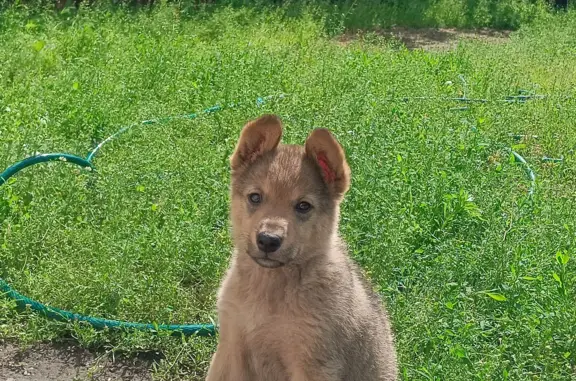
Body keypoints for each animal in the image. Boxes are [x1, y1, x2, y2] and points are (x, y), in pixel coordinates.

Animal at [205, 114, 398, 378]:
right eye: (255, 197)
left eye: (303, 206)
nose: (268, 240)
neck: (269, 289)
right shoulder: (230, 347)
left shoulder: (312, 363)